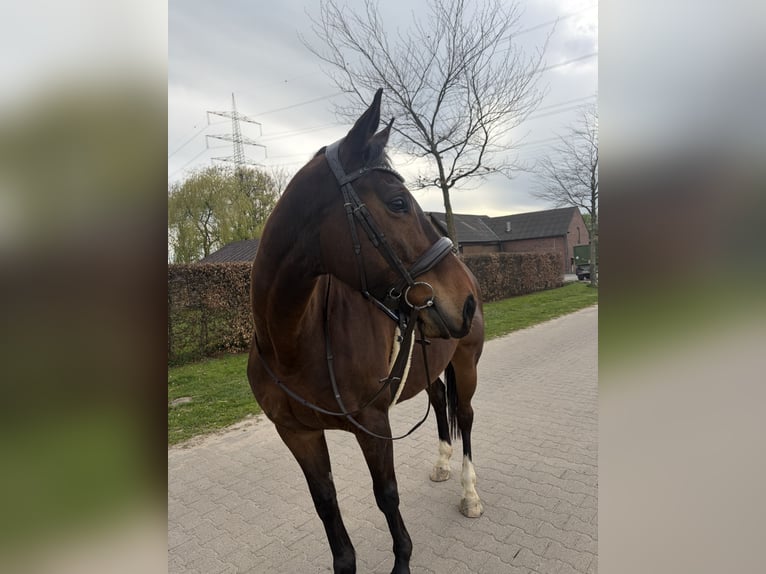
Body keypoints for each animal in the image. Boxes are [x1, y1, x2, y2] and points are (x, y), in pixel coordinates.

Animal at [247, 88, 485, 574]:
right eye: (397, 203)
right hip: (431, 370)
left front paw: (403, 560)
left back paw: (469, 493)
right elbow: (326, 506)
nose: (466, 299)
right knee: (441, 406)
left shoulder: (373, 425)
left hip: (467, 365)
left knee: (466, 418)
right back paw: (442, 464)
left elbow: (386, 496)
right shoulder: (296, 433)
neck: (292, 342)